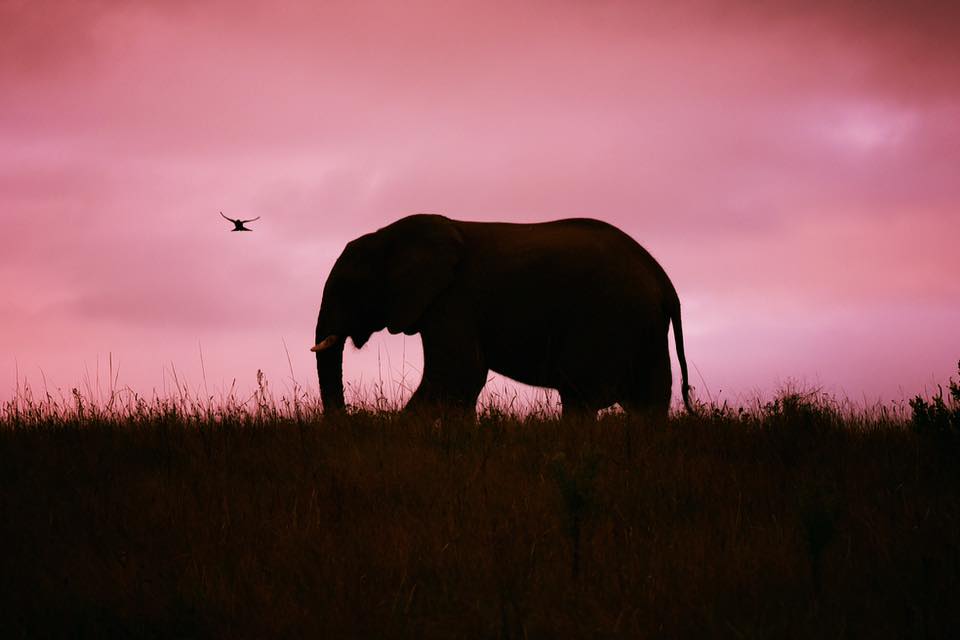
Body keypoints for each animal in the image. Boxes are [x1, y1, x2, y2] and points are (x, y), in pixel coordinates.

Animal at [316, 215, 688, 420]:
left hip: (609, 317)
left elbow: (456, 375)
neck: (389, 235)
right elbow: (462, 384)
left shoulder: (453, 300)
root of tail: (664, 281)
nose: (348, 420)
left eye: (348, 287)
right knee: (649, 401)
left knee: (579, 395)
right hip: (645, 328)